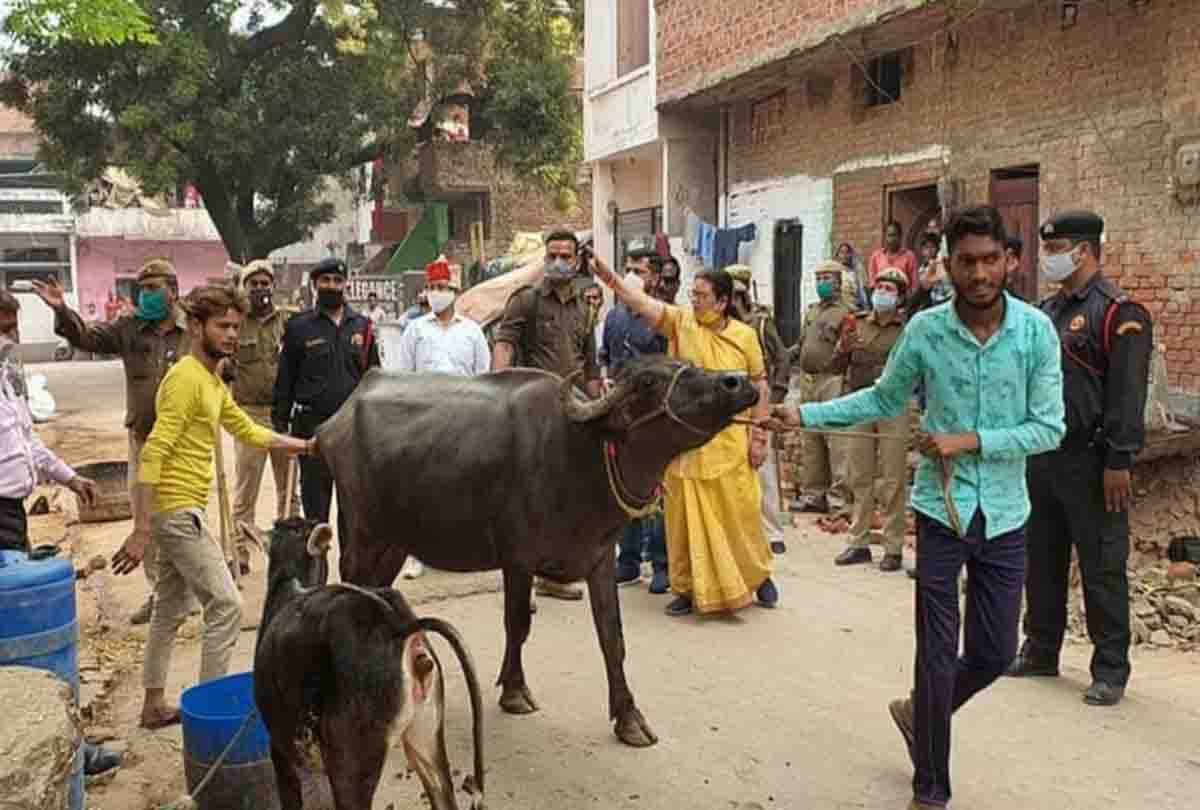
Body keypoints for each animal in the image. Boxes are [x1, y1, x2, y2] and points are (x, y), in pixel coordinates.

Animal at [316, 357, 759, 747]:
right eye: (649, 381)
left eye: (687, 364)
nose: (737, 382)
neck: (581, 454)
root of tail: (337, 419)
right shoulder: (518, 558)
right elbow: (518, 624)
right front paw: (514, 691)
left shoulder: (600, 558)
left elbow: (612, 636)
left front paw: (629, 718)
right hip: (363, 533)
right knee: (352, 587)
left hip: (394, 540)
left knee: (377, 590)